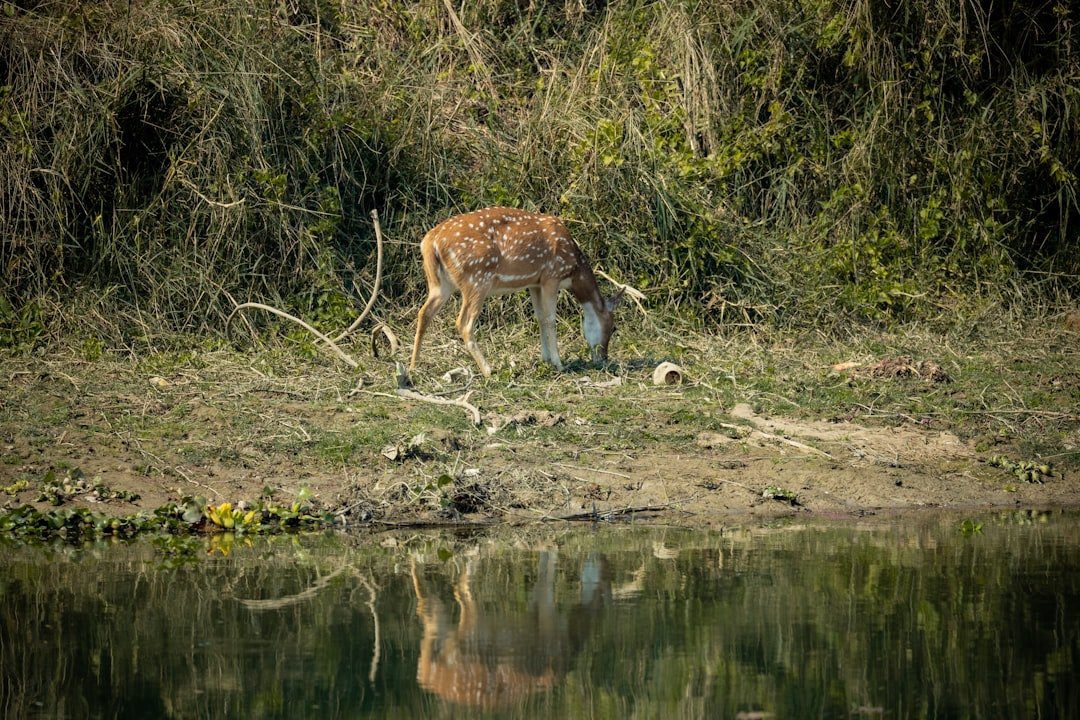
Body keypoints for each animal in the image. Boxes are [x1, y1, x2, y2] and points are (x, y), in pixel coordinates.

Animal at [409, 207, 624, 378]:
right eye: (613, 327)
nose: (603, 358)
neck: (573, 271)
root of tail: (430, 241)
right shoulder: (551, 275)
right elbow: (550, 319)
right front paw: (559, 364)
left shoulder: (534, 283)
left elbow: (539, 318)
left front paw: (546, 358)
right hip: (477, 279)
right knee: (463, 323)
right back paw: (488, 370)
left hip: (440, 284)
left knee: (424, 313)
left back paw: (413, 367)